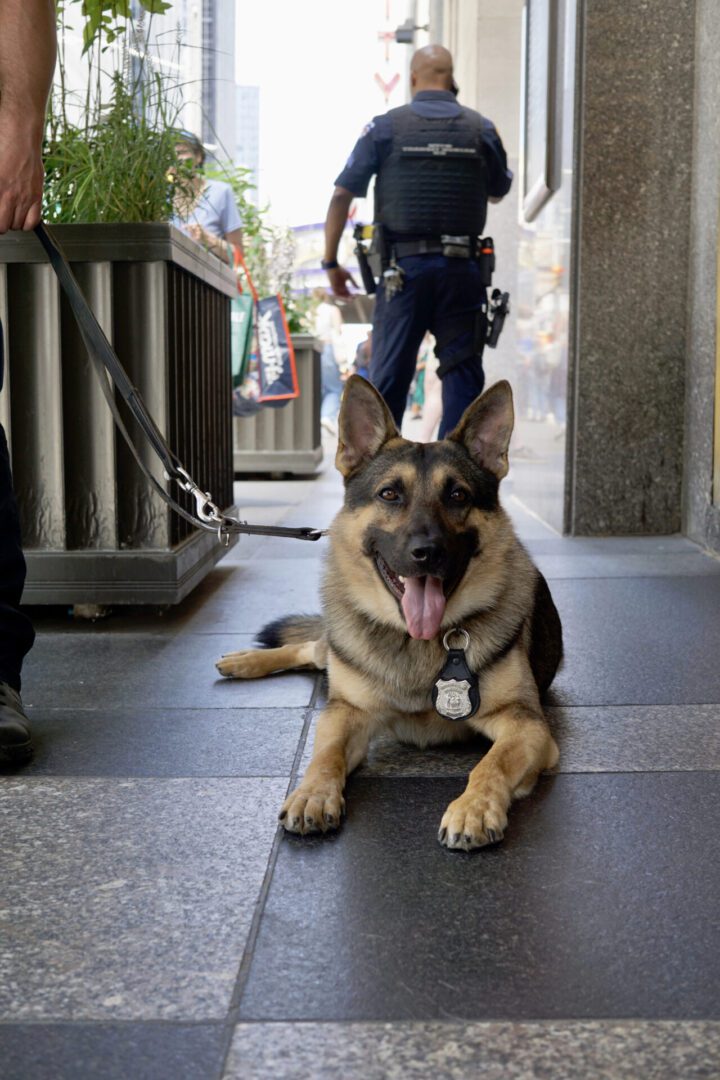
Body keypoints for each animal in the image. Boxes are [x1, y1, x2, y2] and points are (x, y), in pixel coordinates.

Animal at [215, 375, 561, 846]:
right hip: (333, 651)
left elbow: (490, 764)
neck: (419, 642)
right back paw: (244, 661)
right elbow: (324, 754)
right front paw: (312, 794)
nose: (427, 553)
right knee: (308, 647)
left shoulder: (526, 726)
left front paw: (473, 808)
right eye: (390, 494)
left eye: (458, 494)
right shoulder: (346, 713)